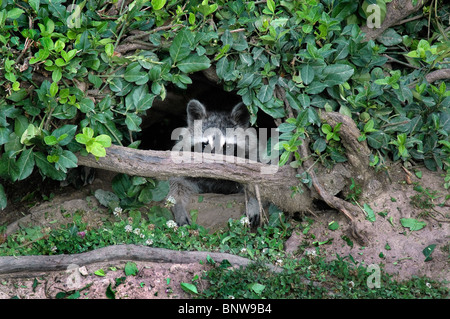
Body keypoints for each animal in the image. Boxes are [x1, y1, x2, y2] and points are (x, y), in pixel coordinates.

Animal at [168, 100, 260, 228]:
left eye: (227, 146)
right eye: (205, 144)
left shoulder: (253, 154)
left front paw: (254, 200)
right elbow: (178, 182)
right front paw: (178, 204)